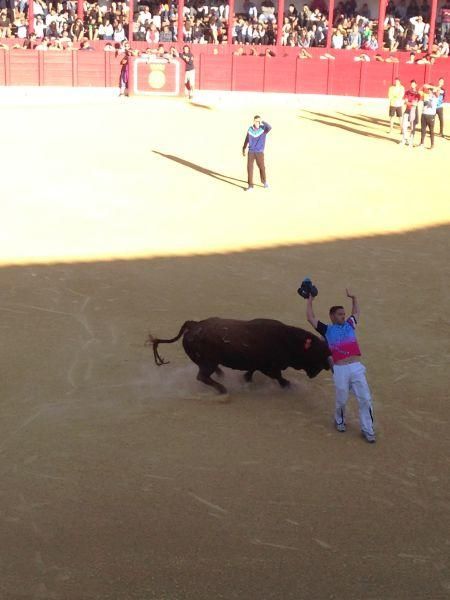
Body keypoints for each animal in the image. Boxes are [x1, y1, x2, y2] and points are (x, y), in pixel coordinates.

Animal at [146, 316, 332, 396]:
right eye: (318, 353)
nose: (326, 367)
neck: (288, 340)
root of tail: (193, 325)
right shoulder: (270, 368)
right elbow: (280, 378)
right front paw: (290, 386)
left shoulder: (258, 365)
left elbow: (250, 372)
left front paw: (246, 380)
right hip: (208, 362)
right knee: (202, 376)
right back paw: (223, 389)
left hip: (208, 362)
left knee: (208, 373)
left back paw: (222, 378)